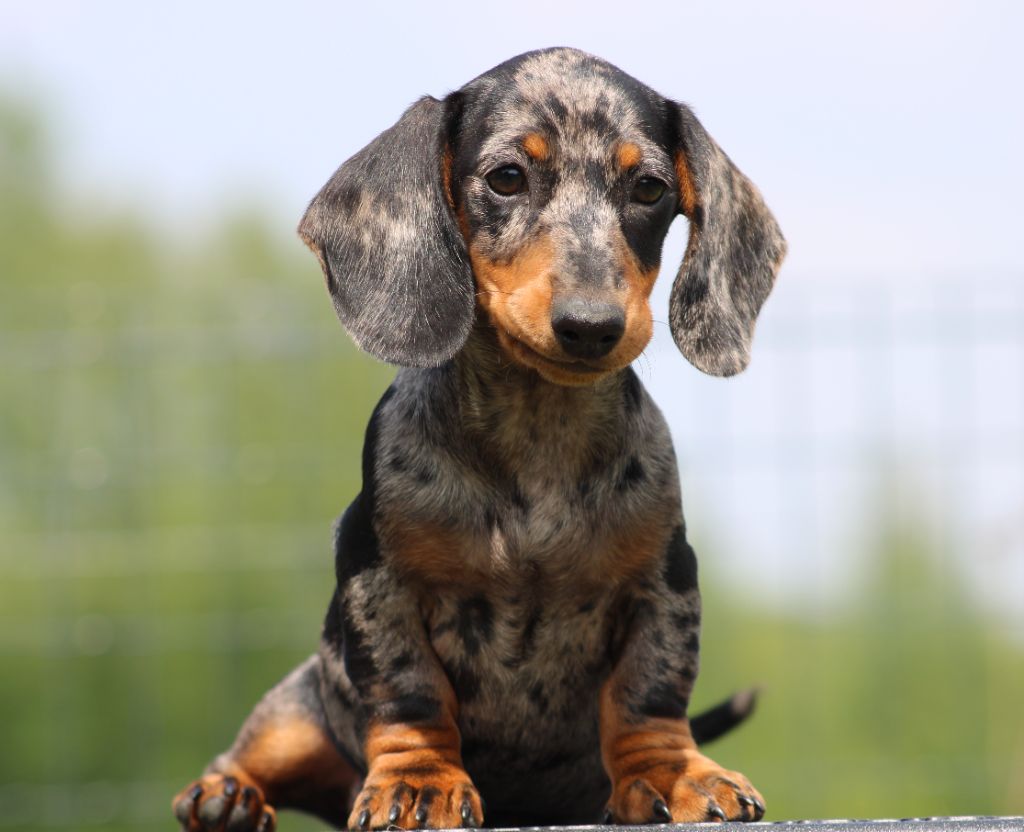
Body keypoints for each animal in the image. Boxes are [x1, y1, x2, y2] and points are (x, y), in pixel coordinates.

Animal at [172, 47, 785, 832]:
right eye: (507, 178)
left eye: (649, 188)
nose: (591, 325)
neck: (536, 433)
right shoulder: (377, 575)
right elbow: (410, 690)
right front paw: (418, 784)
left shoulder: (665, 578)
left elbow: (649, 692)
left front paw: (673, 773)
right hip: (295, 709)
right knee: (253, 752)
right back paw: (227, 798)